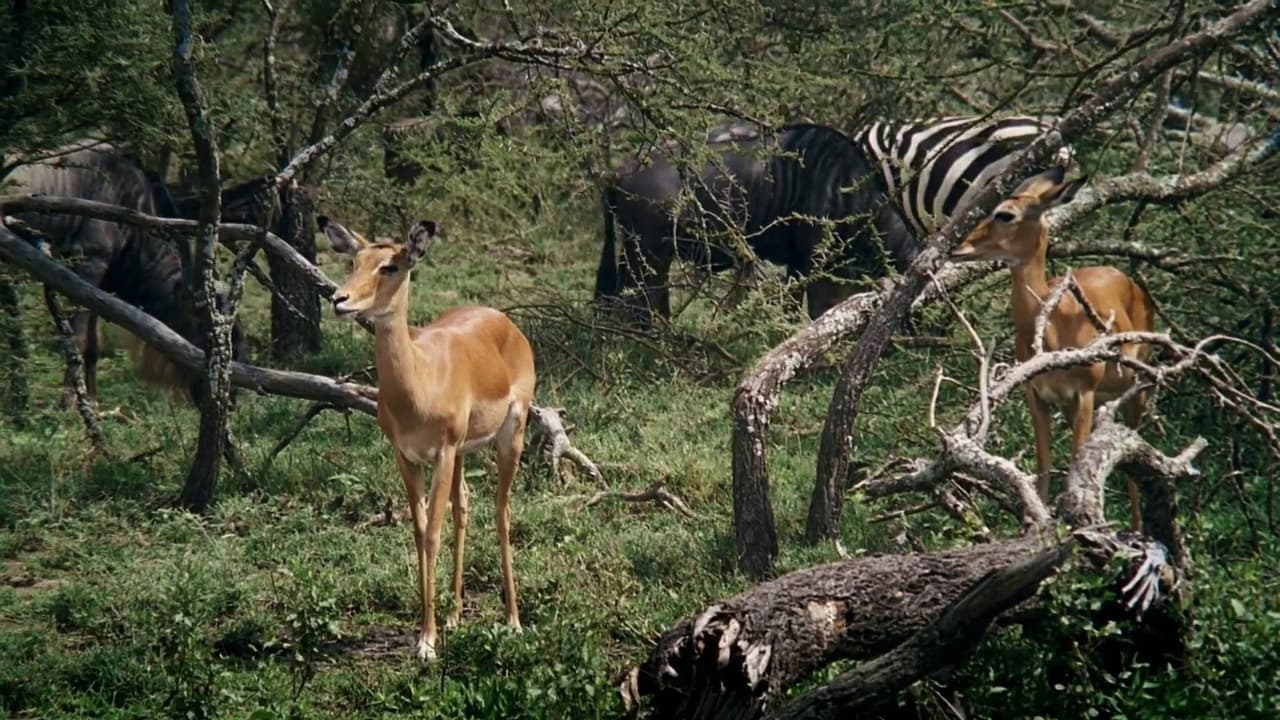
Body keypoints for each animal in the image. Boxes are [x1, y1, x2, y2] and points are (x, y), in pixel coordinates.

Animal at [593, 122, 916, 322]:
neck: (847, 187)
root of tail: (618, 172)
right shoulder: (815, 263)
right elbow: (819, 311)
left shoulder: (798, 265)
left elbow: (793, 308)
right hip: (651, 255)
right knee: (644, 302)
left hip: (636, 253)